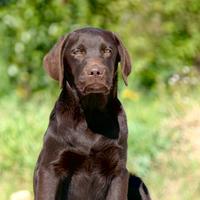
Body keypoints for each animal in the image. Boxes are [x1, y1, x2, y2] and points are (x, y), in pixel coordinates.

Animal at [33, 27, 151, 200]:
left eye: (108, 51)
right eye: (77, 52)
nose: (96, 72)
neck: (92, 114)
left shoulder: (119, 171)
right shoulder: (50, 168)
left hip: (136, 181)